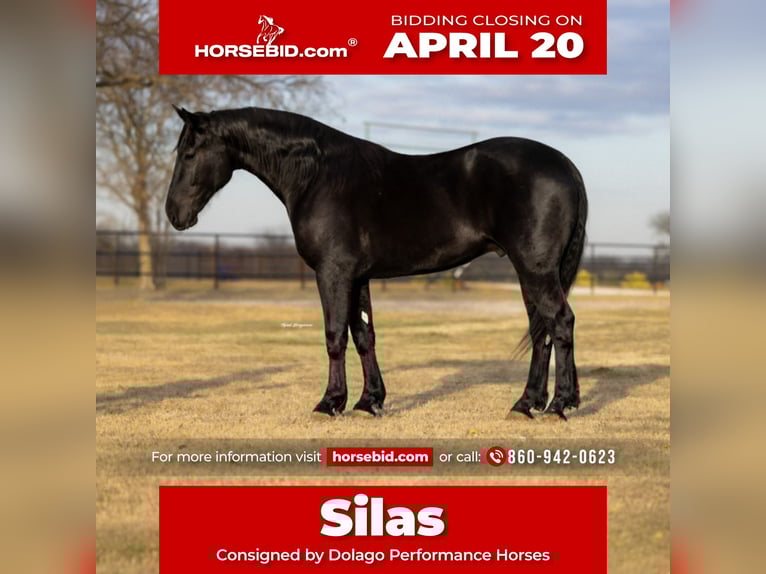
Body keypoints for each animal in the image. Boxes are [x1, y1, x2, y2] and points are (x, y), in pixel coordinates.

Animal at [165, 106, 588, 420]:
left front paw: (330, 402)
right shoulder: (358, 276)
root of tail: (566, 165)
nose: (173, 214)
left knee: (560, 322)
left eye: (189, 153)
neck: (318, 176)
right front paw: (369, 401)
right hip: (530, 271)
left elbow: (335, 335)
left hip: (535, 268)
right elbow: (363, 335)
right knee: (540, 329)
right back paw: (526, 403)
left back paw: (558, 405)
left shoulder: (333, 272)